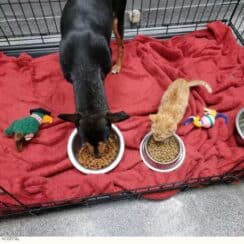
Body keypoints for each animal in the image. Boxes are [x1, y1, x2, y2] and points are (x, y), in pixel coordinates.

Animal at [58, 0, 130, 157]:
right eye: (85, 141)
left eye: (106, 138)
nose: (97, 155)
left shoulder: (103, 72)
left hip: (117, 19)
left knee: (121, 44)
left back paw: (118, 65)